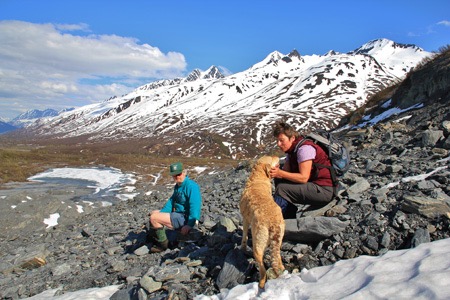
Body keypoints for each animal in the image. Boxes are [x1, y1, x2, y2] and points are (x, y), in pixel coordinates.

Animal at [239, 155, 284, 288]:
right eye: (271, 158)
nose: (277, 155)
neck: (258, 178)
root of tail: (273, 224)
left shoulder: (245, 218)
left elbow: (244, 235)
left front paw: (242, 248)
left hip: (258, 243)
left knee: (262, 269)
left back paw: (261, 284)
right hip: (279, 239)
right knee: (278, 259)